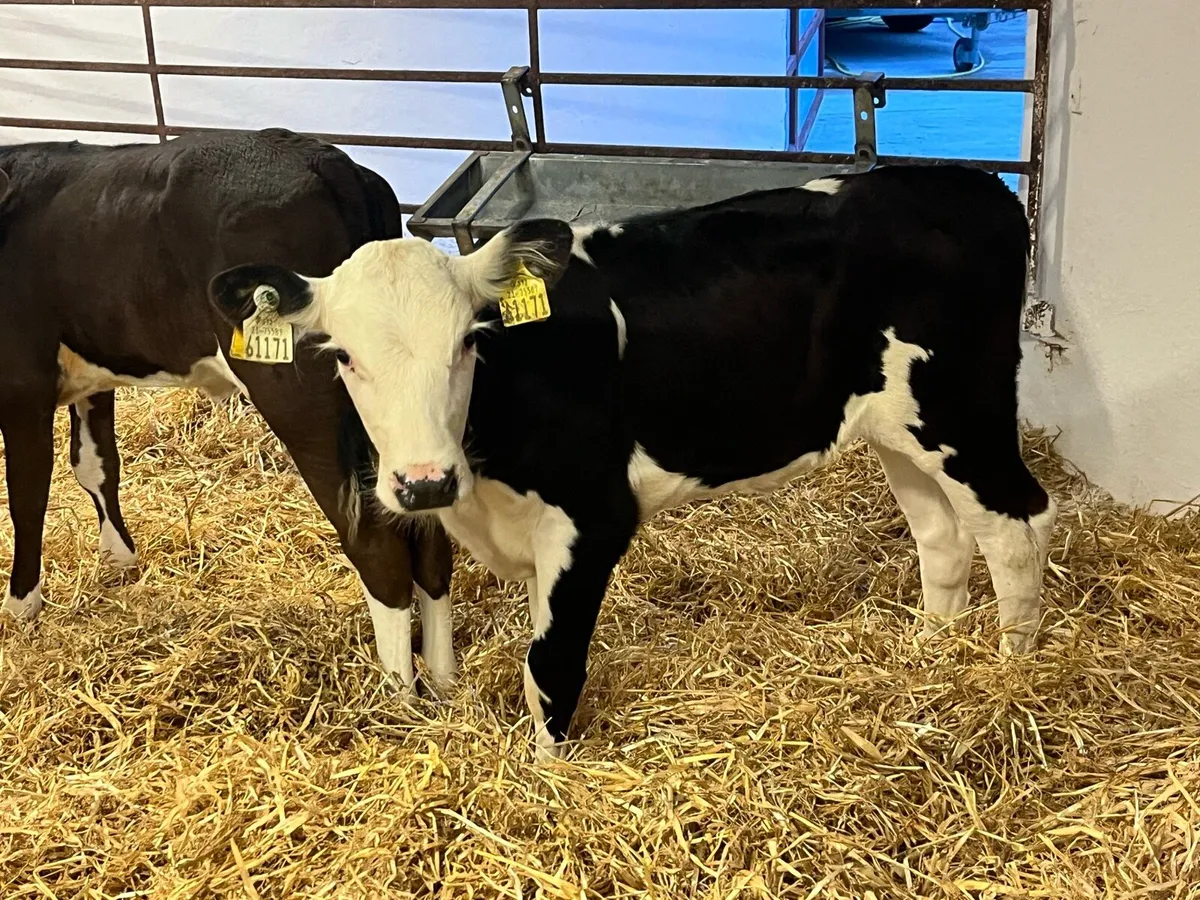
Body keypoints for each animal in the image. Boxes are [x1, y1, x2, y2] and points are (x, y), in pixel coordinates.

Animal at [0, 129, 455, 692]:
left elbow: (26, 493)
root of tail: (323, 157)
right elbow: (96, 464)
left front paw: (22, 604)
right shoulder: (90, 374)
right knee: (429, 535)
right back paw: (445, 682)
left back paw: (397, 694)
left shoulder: (20, 384)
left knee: (378, 543)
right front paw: (119, 559)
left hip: (297, 393)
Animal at [209, 165, 1058, 761]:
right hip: (897, 428)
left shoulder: (593, 518)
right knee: (942, 535)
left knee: (1017, 523)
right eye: (343, 357)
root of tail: (971, 182)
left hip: (963, 412)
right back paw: (931, 660)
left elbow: (549, 665)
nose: (424, 482)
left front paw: (549, 779)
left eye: (469, 341)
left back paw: (1009, 676)